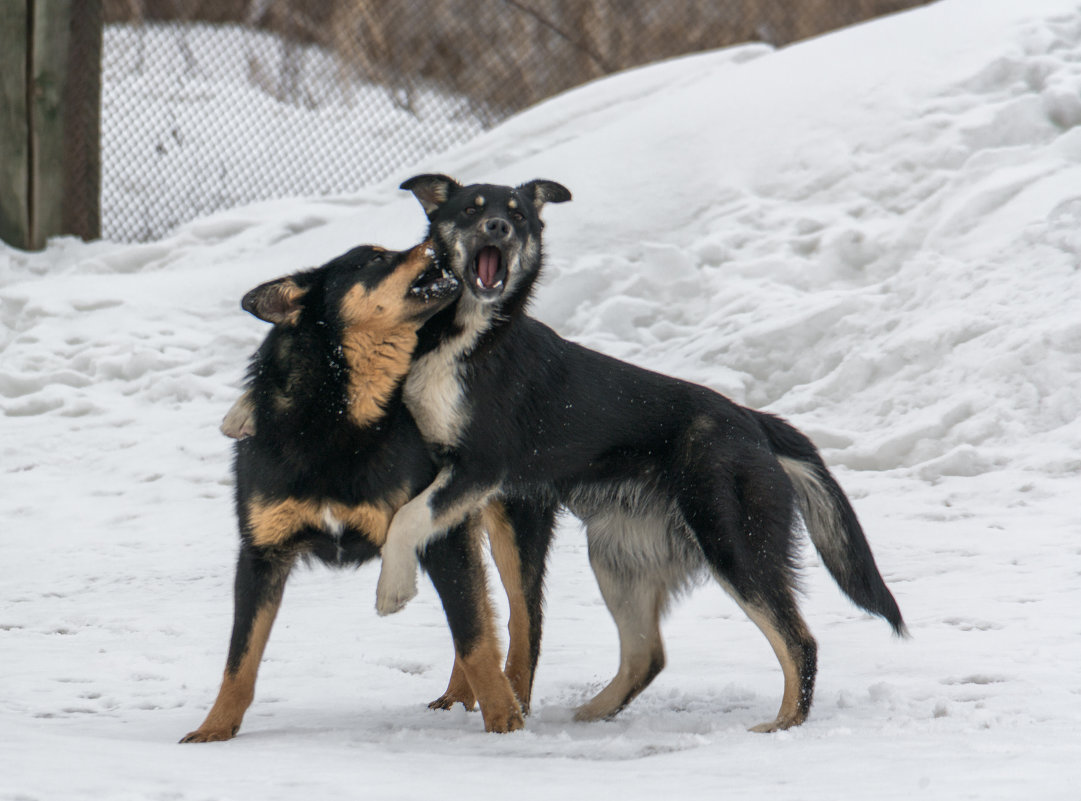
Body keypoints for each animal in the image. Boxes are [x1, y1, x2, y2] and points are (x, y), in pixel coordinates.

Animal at [181, 243, 527, 743]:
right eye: (373, 259)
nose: (436, 246)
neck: (339, 411)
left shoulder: (438, 538)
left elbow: (474, 637)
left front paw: (503, 719)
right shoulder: (262, 553)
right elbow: (239, 658)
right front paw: (215, 728)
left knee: (517, 620)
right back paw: (459, 698)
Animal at [376, 175, 908, 730]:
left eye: (518, 215)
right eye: (471, 210)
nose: (498, 226)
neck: (465, 340)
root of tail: (753, 421)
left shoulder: (481, 467)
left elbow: (408, 521)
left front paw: (392, 590)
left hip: (734, 546)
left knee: (799, 642)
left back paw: (782, 724)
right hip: (617, 558)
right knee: (646, 654)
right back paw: (589, 713)